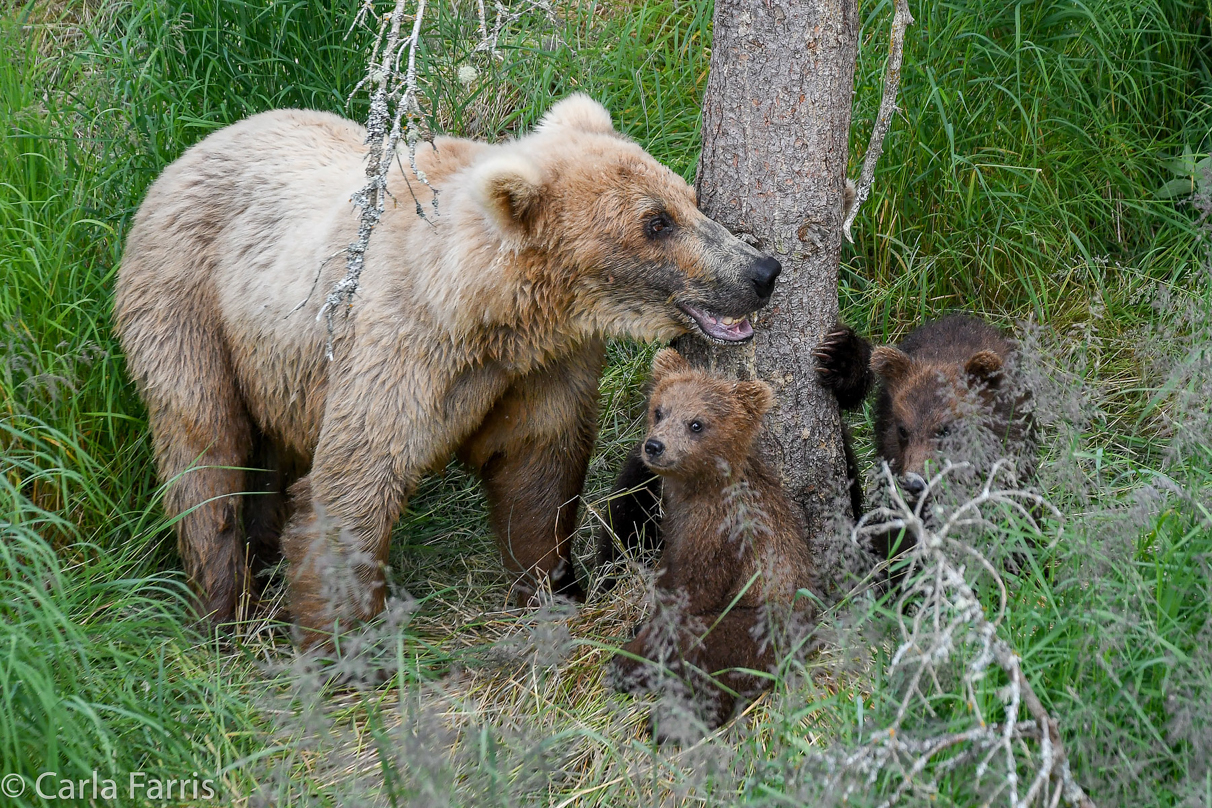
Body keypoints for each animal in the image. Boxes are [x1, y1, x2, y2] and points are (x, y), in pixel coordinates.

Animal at [113, 96, 775, 644]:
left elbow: (537, 469)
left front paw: (551, 590)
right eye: (656, 222)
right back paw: (224, 609)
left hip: (278, 362)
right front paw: (345, 645)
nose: (761, 272)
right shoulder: (399, 351)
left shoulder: (542, 367)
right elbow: (355, 481)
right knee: (203, 450)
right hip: (189, 305)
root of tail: (197, 146)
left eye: (690, 198)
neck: (483, 313)